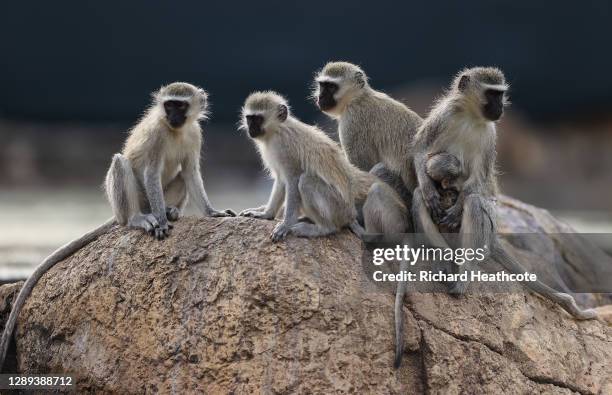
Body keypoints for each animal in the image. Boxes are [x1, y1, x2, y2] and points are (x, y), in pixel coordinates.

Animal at [0, 81, 234, 372]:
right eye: (169, 105)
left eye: (180, 105)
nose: (172, 116)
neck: (176, 131)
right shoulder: (157, 135)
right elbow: (151, 173)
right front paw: (161, 222)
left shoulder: (194, 134)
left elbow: (191, 172)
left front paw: (212, 212)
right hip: (134, 203)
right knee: (121, 165)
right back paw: (141, 219)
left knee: (180, 174)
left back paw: (172, 211)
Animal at [237, 91, 408, 241]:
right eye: (249, 118)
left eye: (258, 119)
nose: (251, 128)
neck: (277, 130)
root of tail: (350, 214)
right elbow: (281, 181)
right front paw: (267, 214)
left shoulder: (285, 148)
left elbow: (292, 181)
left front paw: (286, 224)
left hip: (337, 207)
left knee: (306, 181)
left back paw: (323, 228)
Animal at [314, 61, 424, 210]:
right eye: (322, 86)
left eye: (331, 87)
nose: (320, 98)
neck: (358, 98)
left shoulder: (352, 122)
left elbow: (363, 168)